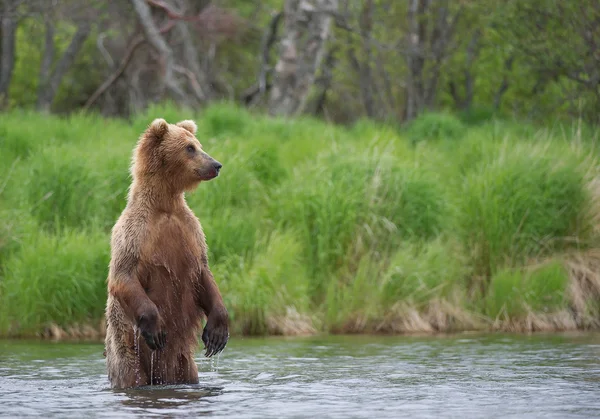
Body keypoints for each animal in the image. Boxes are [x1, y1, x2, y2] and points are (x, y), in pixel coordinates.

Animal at [104, 118, 229, 390]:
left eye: (198, 144)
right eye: (189, 148)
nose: (216, 165)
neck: (165, 204)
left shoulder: (191, 233)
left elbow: (204, 273)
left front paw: (216, 333)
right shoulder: (134, 234)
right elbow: (123, 274)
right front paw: (156, 328)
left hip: (184, 363)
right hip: (128, 352)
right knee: (131, 374)